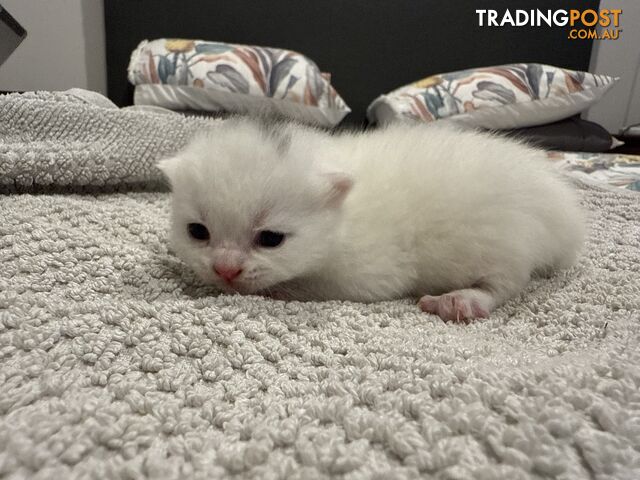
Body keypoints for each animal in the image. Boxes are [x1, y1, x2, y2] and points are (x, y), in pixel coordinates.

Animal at [160, 117, 584, 322]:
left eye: (270, 239)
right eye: (197, 232)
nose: (224, 270)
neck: (344, 214)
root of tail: (560, 203)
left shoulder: (371, 271)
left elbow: (304, 285)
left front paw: (274, 289)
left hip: (505, 239)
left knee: (507, 283)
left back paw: (462, 299)